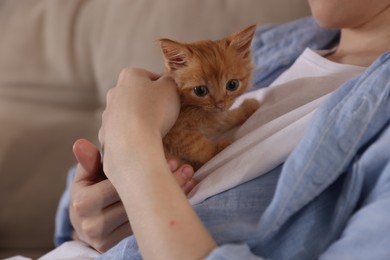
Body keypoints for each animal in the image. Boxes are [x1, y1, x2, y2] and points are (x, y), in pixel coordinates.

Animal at [160, 24, 260, 171]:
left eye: (232, 84)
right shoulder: (176, 132)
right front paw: (218, 149)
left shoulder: (215, 118)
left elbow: (225, 120)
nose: (220, 104)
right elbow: (197, 145)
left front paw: (246, 109)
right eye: (200, 90)